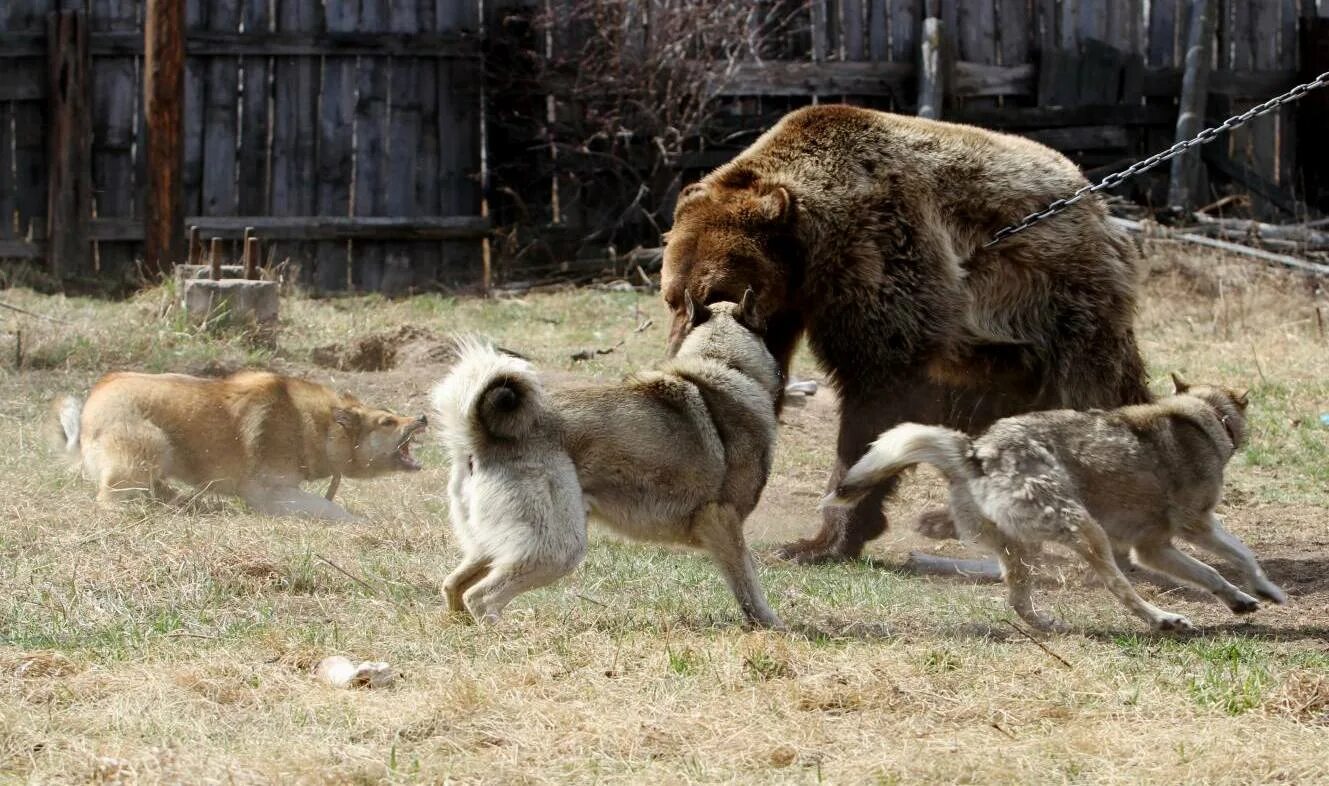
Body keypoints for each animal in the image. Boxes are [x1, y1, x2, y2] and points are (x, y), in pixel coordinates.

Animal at [48, 369, 425, 524]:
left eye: (393, 414)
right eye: (387, 422)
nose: (422, 417)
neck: (316, 426)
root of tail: (93, 397)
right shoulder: (270, 493)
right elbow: (329, 508)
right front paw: (358, 521)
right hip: (148, 449)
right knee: (108, 496)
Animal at [435, 292, 786, 630]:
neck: (724, 364)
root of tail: (480, 437)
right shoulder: (723, 522)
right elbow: (749, 586)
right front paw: (771, 625)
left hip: (497, 545)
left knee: (454, 586)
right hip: (558, 548)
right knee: (481, 596)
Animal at [659, 104, 1148, 563]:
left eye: (714, 291)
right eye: (671, 297)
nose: (679, 351)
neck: (810, 258)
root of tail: (1096, 201)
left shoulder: (880, 265)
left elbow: (875, 400)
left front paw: (822, 541)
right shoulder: (785, 310)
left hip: (1062, 303)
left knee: (1091, 390)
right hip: (995, 349)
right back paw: (950, 517)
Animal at [823, 377, 1281, 633]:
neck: (1204, 416)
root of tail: (976, 452)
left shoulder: (1154, 549)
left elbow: (1214, 572)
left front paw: (1244, 600)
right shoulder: (1195, 527)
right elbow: (1241, 555)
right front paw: (1266, 590)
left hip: (1026, 550)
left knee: (1016, 600)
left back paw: (1046, 624)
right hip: (1088, 534)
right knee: (1120, 589)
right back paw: (1164, 620)